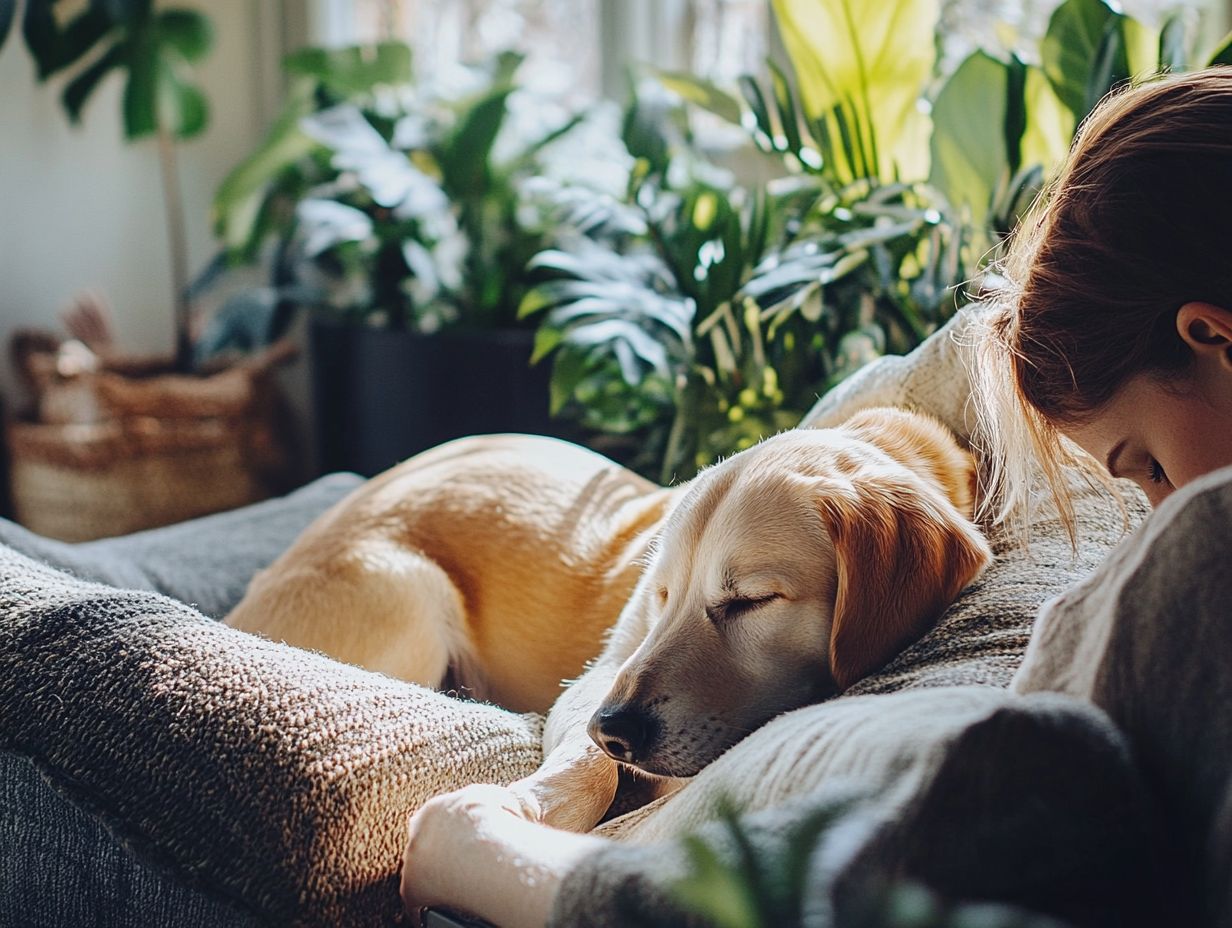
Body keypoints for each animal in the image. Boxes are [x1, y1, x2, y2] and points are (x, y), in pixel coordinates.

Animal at [224, 411, 990, 921]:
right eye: (663, 594)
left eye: (748, 601)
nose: (616, 729)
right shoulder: (596, 683)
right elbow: (587, 763)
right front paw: (530, 806)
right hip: (411, 590)